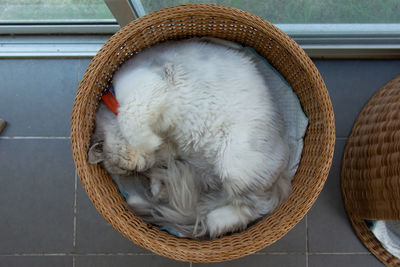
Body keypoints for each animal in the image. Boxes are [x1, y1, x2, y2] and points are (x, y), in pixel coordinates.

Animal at [89, 38, 292, 239]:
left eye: (128, 170)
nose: (142, 169)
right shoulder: (168, 151)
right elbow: (157, 166)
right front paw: (155, 181)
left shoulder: (145, 88)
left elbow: (130, 121)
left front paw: (148, 141)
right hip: (203, 171)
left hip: (232, 164)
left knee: (256, 207)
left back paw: (216, 222)